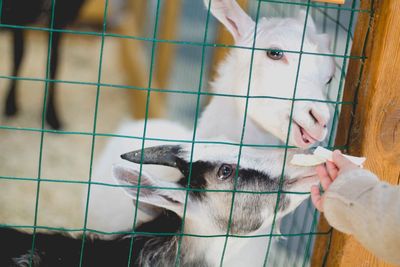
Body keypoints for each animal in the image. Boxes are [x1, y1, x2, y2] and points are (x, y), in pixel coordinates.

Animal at [1, 0, 85, 130]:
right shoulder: (16, 19)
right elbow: (19, 54)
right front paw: (10, 105)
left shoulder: (59, 20)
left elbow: (53, 61)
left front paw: (51, 115)